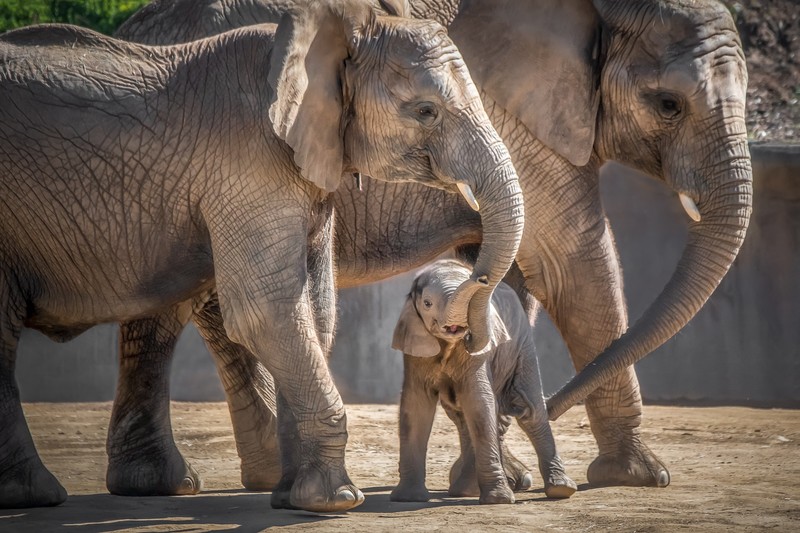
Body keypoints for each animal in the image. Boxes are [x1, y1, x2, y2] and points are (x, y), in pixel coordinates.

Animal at [0, 0, 527, 511]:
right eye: (425, 111)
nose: (473, 275)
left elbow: (313, 312)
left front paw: (289, 496)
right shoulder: (249, 163)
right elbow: (267, 309)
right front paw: (334, 501)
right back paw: (37, 496)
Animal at [390, 260, 577, 504]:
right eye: (427, 303)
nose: (482, 279)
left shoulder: (478, 357)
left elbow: (479, 402)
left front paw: (499, 500)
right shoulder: (416, 352)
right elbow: (415, 407)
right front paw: (408, 498)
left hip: (523, 344)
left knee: (531, 411)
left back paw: (560, 489)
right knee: (461, 417)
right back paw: (465, 491)